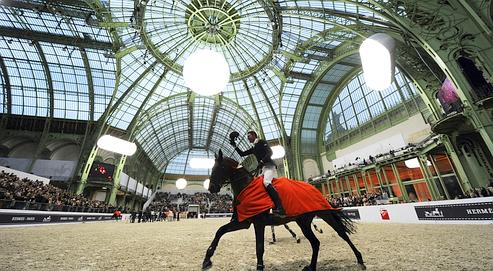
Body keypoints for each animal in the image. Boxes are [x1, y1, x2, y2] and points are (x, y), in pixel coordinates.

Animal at [201, 151, 366, 271]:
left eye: (219, 168)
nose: (211, 188)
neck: (246, 188)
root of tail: (313, 186)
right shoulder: (243, 222)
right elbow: (220, 231)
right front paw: (207, 260)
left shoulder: (258, 223)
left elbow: (259, 248)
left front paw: (260, 267)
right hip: (303, 221)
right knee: (315, 243)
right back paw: (311, 266)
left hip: (325, 214)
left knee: (342, 234)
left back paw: (360, 259)